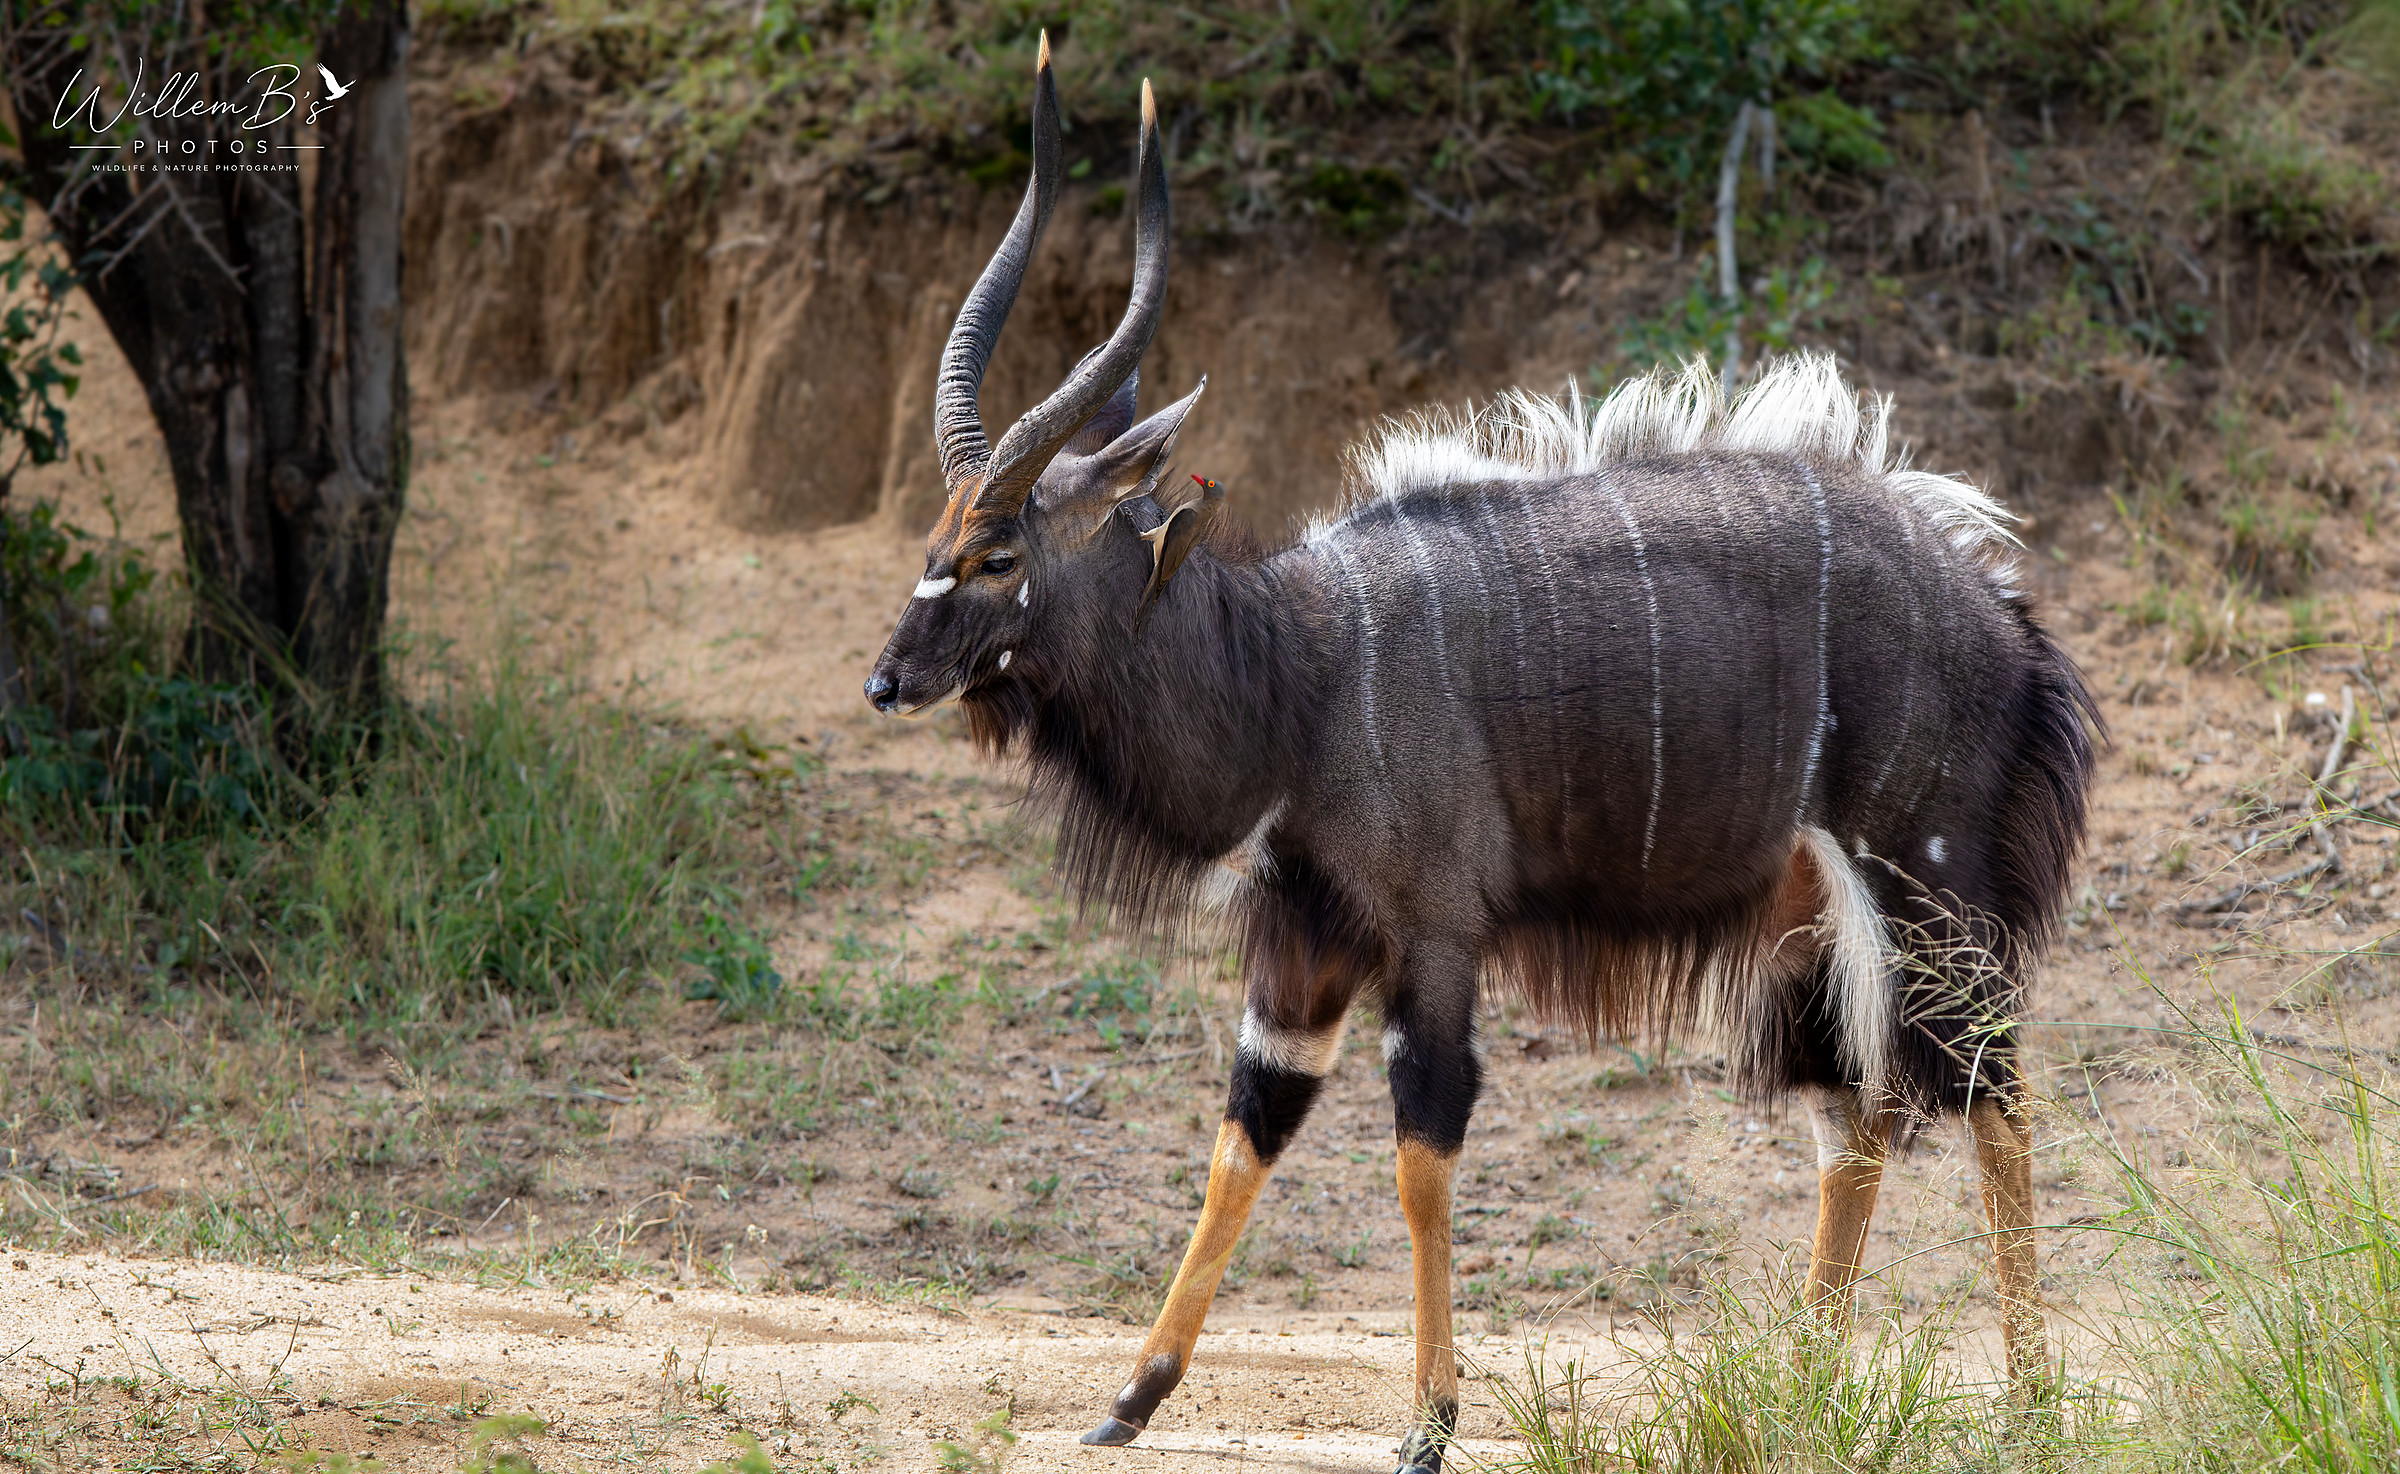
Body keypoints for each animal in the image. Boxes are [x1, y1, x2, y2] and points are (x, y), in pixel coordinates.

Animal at [864, 37, 2097, 1473]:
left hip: (1928, 887)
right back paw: (1804, 1385)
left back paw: (2032, 1403)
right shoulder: (1306, 946)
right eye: (936, 535)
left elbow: (1421, 1152)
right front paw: (1129, 1395)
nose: (888, 678)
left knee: (1991, 1088)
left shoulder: (1433, 934)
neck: (1302, 673)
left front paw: (1428, 1423)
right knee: (1858, 1113)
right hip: (1814, 930)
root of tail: (2006, 621)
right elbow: (1245, 1133)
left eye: (998, 553)